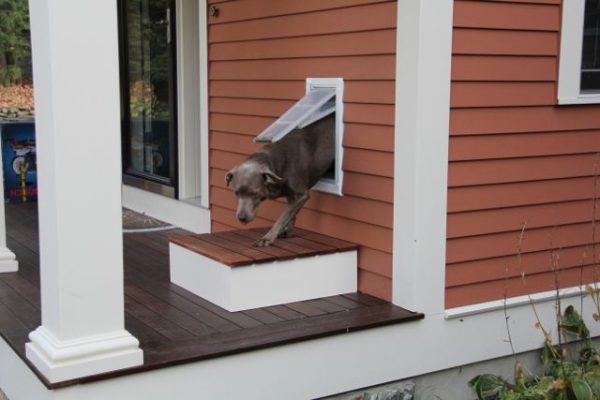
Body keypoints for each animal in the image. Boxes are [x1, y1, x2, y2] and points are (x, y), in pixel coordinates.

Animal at [227, 114, 336, 247]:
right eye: (236, 193)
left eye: (254, 193)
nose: (241, 218)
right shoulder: (292, 196)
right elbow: (291, 213)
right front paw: (287, 231)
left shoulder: (301, 195)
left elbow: (283, 217)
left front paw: (267, 238)